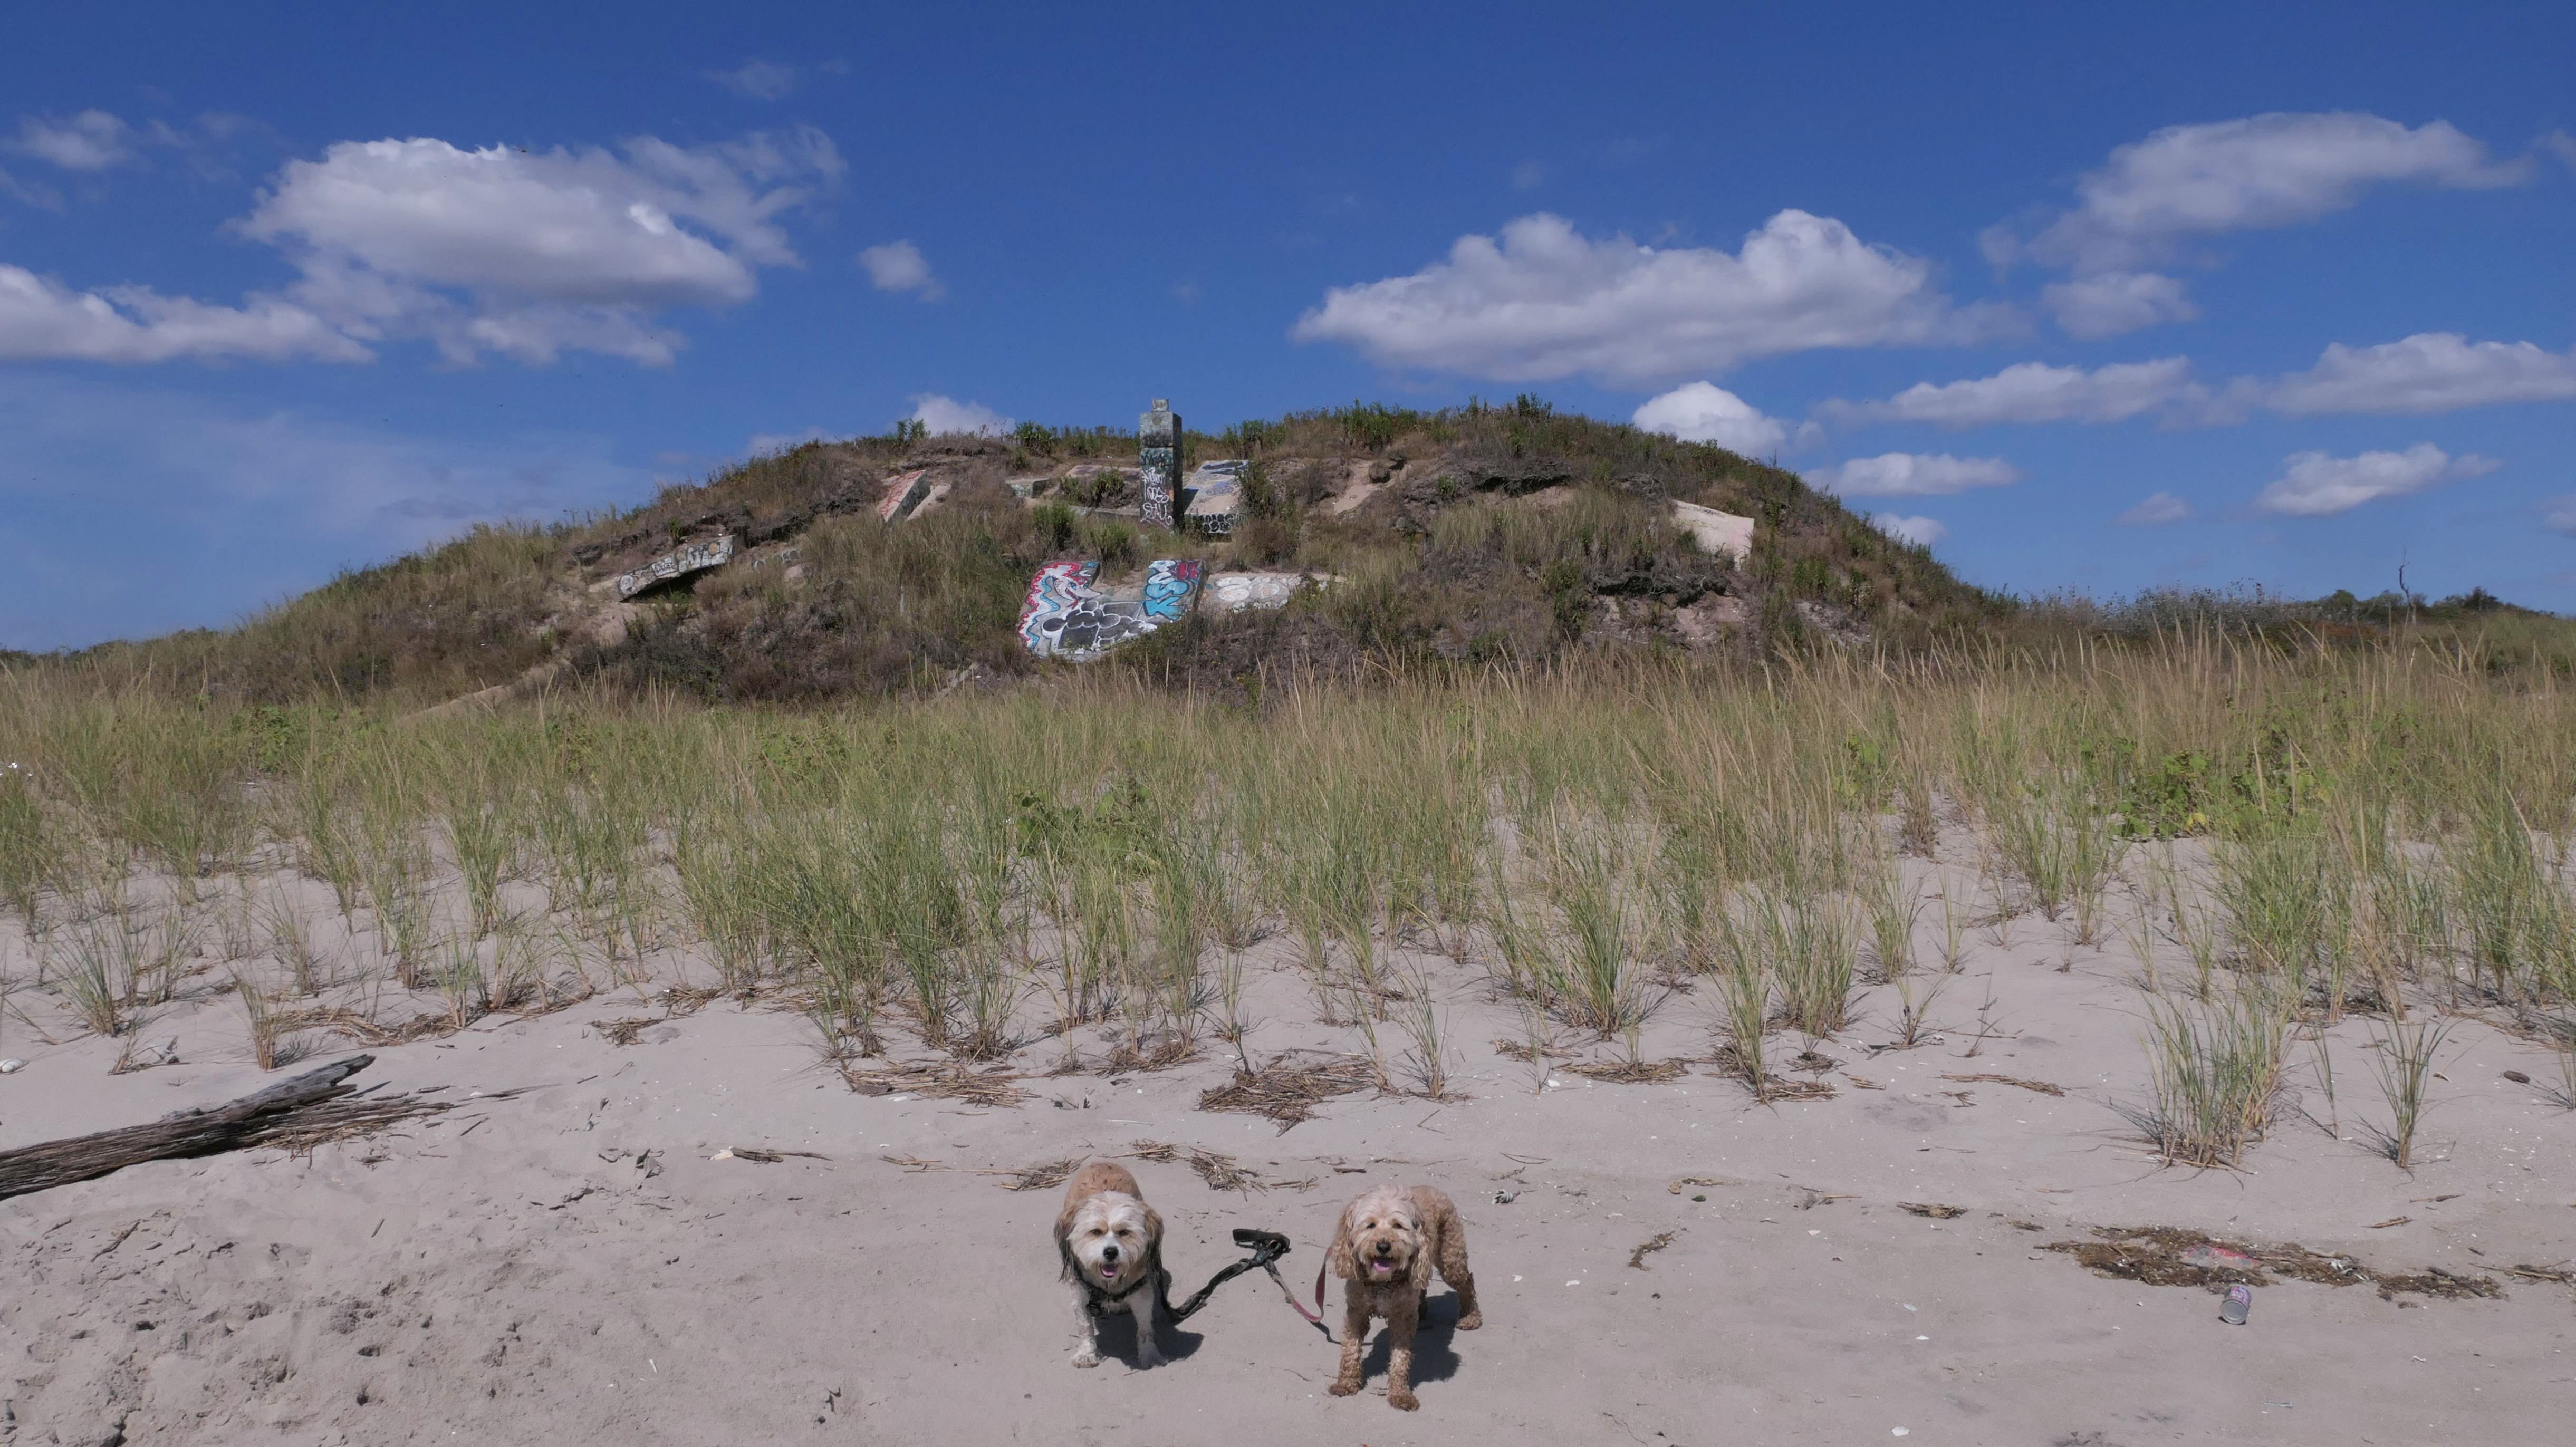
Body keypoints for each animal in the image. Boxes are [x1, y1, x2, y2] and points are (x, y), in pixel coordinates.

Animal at [1054, 1161, 1169, 1369]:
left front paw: (1149, 1355)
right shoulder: (1080, 1294)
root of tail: (1100, 1162)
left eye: (1124, 1232)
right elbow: (1085, 1327)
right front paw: (1087, 1354)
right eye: (1096, 1232)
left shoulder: (1142, 1295)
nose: (1110, 1252)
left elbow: (1145, 1330)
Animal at [1325, 1185, 1480, 1410]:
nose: (1383, 1246)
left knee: (1466, 1281)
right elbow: (1350, 1349)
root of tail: (1431, 1187)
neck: (1382, 1281)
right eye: (1370, 1225)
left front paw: (1400, 1393)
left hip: (1450, 1258)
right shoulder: (1357, 1311)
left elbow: (1400, 1358)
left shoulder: (1402, 1318)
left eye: (1398, 1226)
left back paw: (1471, 1316)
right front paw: (1346, 1383)